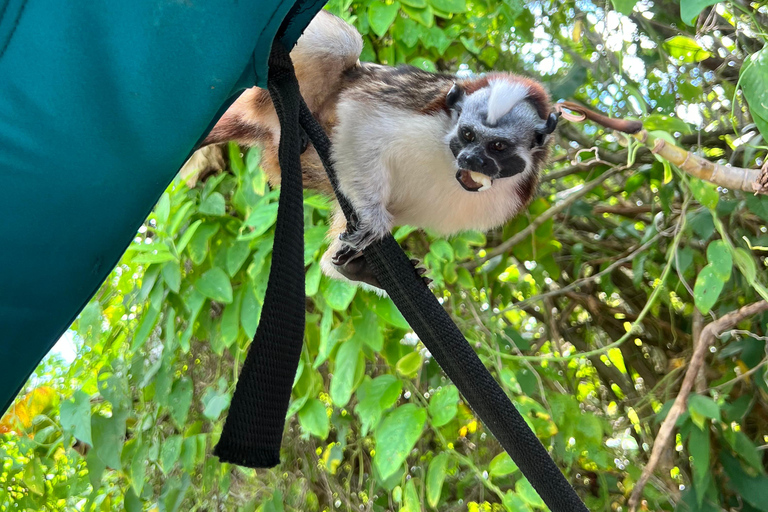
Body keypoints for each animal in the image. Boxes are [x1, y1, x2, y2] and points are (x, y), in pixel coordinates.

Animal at [198, 10, 560, 288]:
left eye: (497, 146)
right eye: (468, 135)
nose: (471, 158)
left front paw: (353, 263)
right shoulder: (424, 116)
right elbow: (362, 118)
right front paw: (373, 220)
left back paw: (355, 268)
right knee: (342, 43)